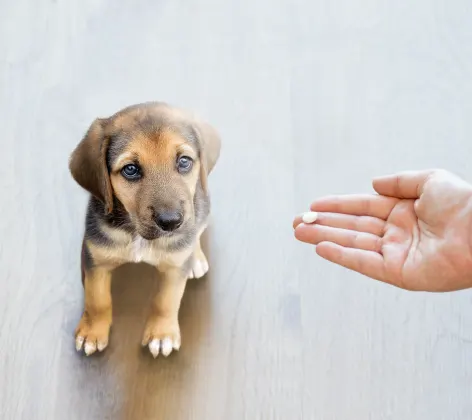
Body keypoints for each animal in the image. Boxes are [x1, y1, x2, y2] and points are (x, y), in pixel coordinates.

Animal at [68, 101, 221, 358]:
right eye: (130, 169)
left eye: (184, 161)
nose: (171, 222)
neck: (138, 235)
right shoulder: (95, 259)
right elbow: (97, 299)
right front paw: (92, 332)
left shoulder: (174, 269)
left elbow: (166, 301)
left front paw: (162, 335)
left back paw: (196, 258)